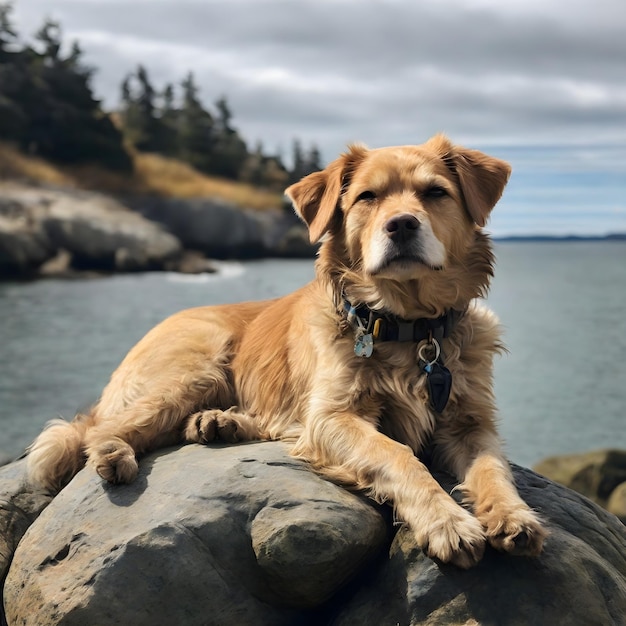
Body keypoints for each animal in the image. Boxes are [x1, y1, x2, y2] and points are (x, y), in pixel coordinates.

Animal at [28, 135, 544, 564]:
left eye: (436, 192)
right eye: (367, 197)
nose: (401, 225)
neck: (409, 328)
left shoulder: (469, 420)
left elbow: (493, 467)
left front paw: (512, 515)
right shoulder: (332, 417)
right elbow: (399, 455)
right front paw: (447, 522)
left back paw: (220, 422)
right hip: (197, 367)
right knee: (101, 428)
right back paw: (115, 451)